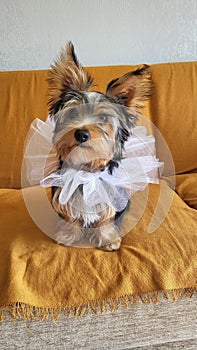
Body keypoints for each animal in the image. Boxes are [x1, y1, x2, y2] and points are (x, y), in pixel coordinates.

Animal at [46, 41, 152, 250]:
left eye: (103, 118)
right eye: (73, 113)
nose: (81, 133)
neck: (87, 171)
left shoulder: (111, 197)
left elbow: (106, 218)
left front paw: (108, 240)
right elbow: (70, 215)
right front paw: (68, 236)